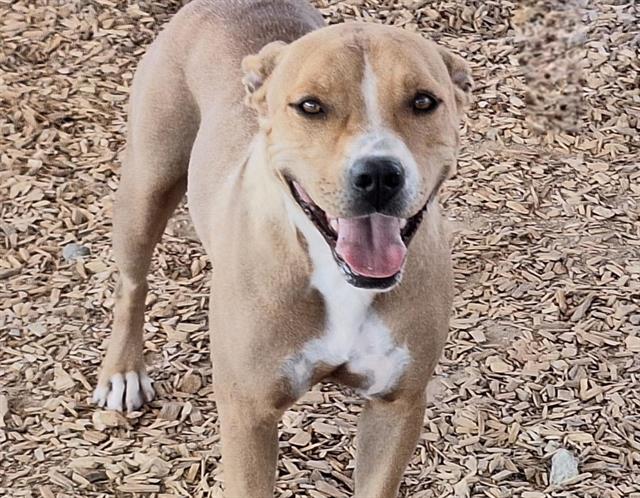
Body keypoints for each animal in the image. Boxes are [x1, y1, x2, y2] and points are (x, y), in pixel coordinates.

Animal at [91, 1, 470, 496]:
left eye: (423, 101)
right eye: (310, 106)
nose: (378, 174)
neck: (337, 275)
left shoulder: (397, 404)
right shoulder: (248, 414)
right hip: (146, 185)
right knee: (131, 284)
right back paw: (122, 371)